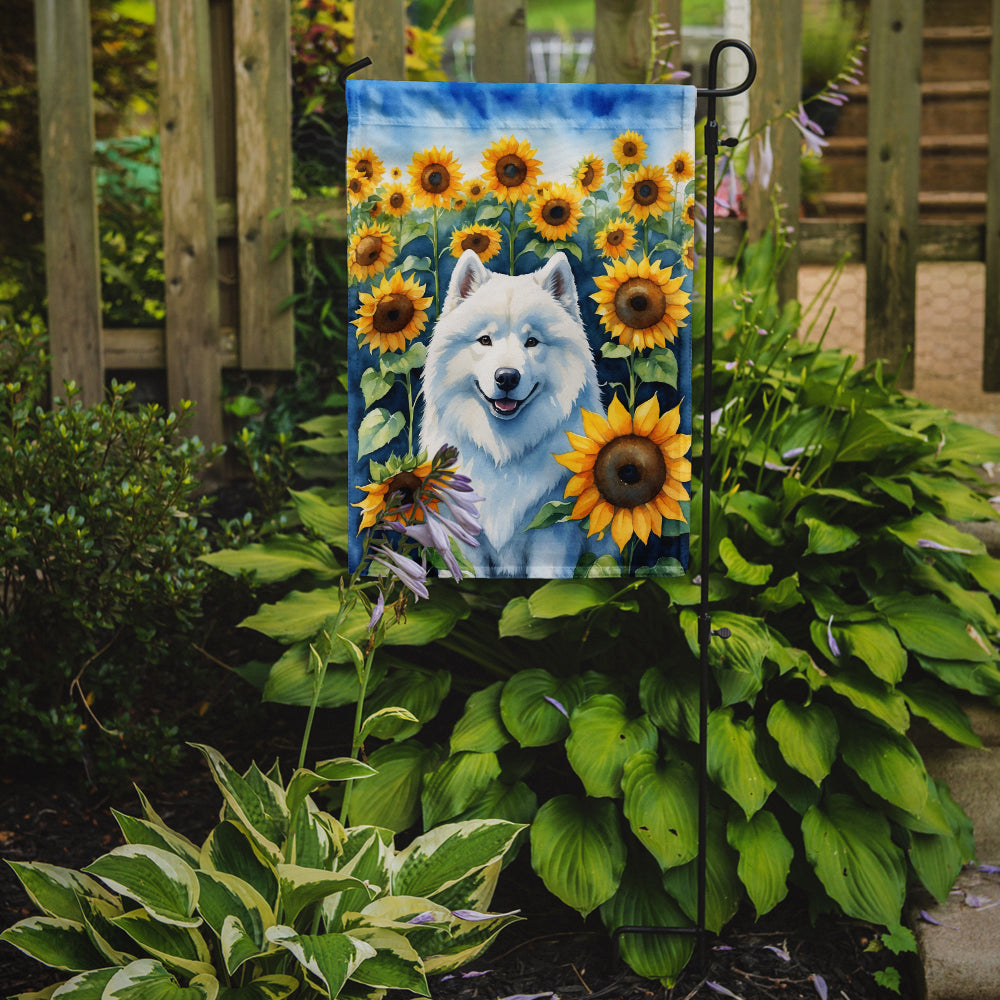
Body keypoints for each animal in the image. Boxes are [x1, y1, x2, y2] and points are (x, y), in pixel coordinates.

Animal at [420, 248, 600, 580]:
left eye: (532, 342)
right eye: (485, 340)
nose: (506, 377)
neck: (504, 452)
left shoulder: (552, 534)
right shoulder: (462, 538)